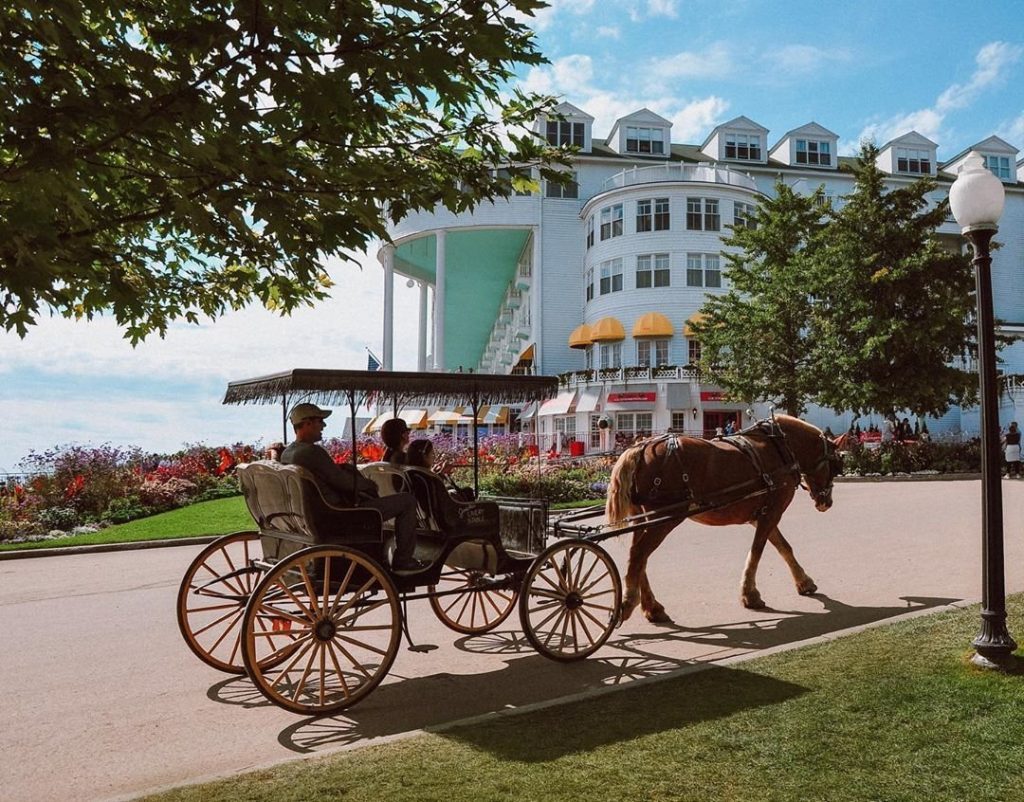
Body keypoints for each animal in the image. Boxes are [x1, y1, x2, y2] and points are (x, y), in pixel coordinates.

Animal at [606, 413, 839, 622]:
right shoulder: (771, 513)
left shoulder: (763, 514)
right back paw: (630, 601)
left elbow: (783, 547)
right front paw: (750, 595)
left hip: (642, 517)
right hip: (665, 517)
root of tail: (640, 447)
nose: (826, 502)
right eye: (836, 466)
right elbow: (757, 550)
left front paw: (804, 582)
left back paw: (652, 607)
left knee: (639, 558)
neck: (781, 448)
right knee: (639, 554)